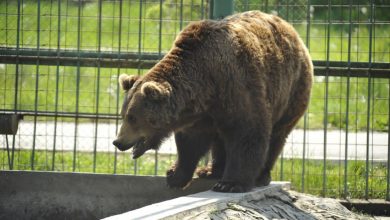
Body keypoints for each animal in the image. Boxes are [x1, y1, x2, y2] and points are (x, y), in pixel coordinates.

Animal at [112, 10, 314, 192]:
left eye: (132, 117)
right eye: (123, 114)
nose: (118, 142)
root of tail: (290, 28)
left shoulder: (238, 86)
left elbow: (247, 132)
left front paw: (230, 184)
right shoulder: (199, 113)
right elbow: (190, 143)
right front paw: (174, 175)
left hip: (291, 90)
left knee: (276, 135)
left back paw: (260, 176)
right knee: (220, 140)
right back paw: (210, 171)